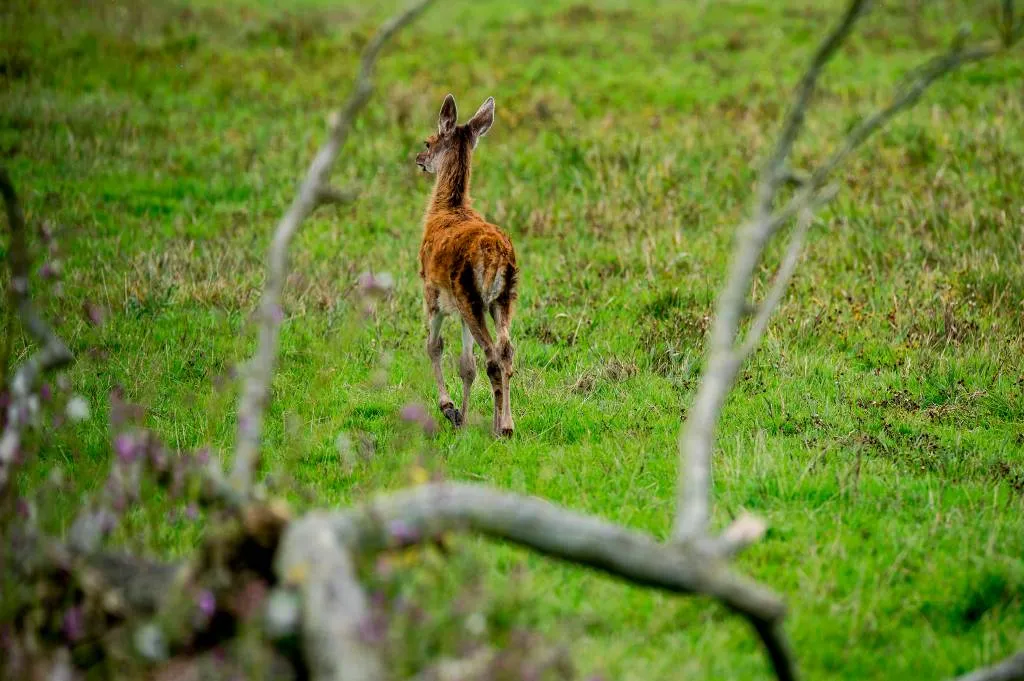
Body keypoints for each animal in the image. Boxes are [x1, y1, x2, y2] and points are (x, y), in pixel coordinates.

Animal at [413, 94, 520, 436]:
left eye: (429, 141)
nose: (419, 158)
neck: (447, 209)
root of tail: (496, 255)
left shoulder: (433, 292)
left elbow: (434, 346)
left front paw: (450, 408)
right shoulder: (458, 309)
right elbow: (466, 366)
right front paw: (462, 412)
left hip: (468, 293)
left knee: (492, 355)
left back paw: (500, 427)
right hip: (504, 297)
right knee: (506, 350)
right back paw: (507, 423)